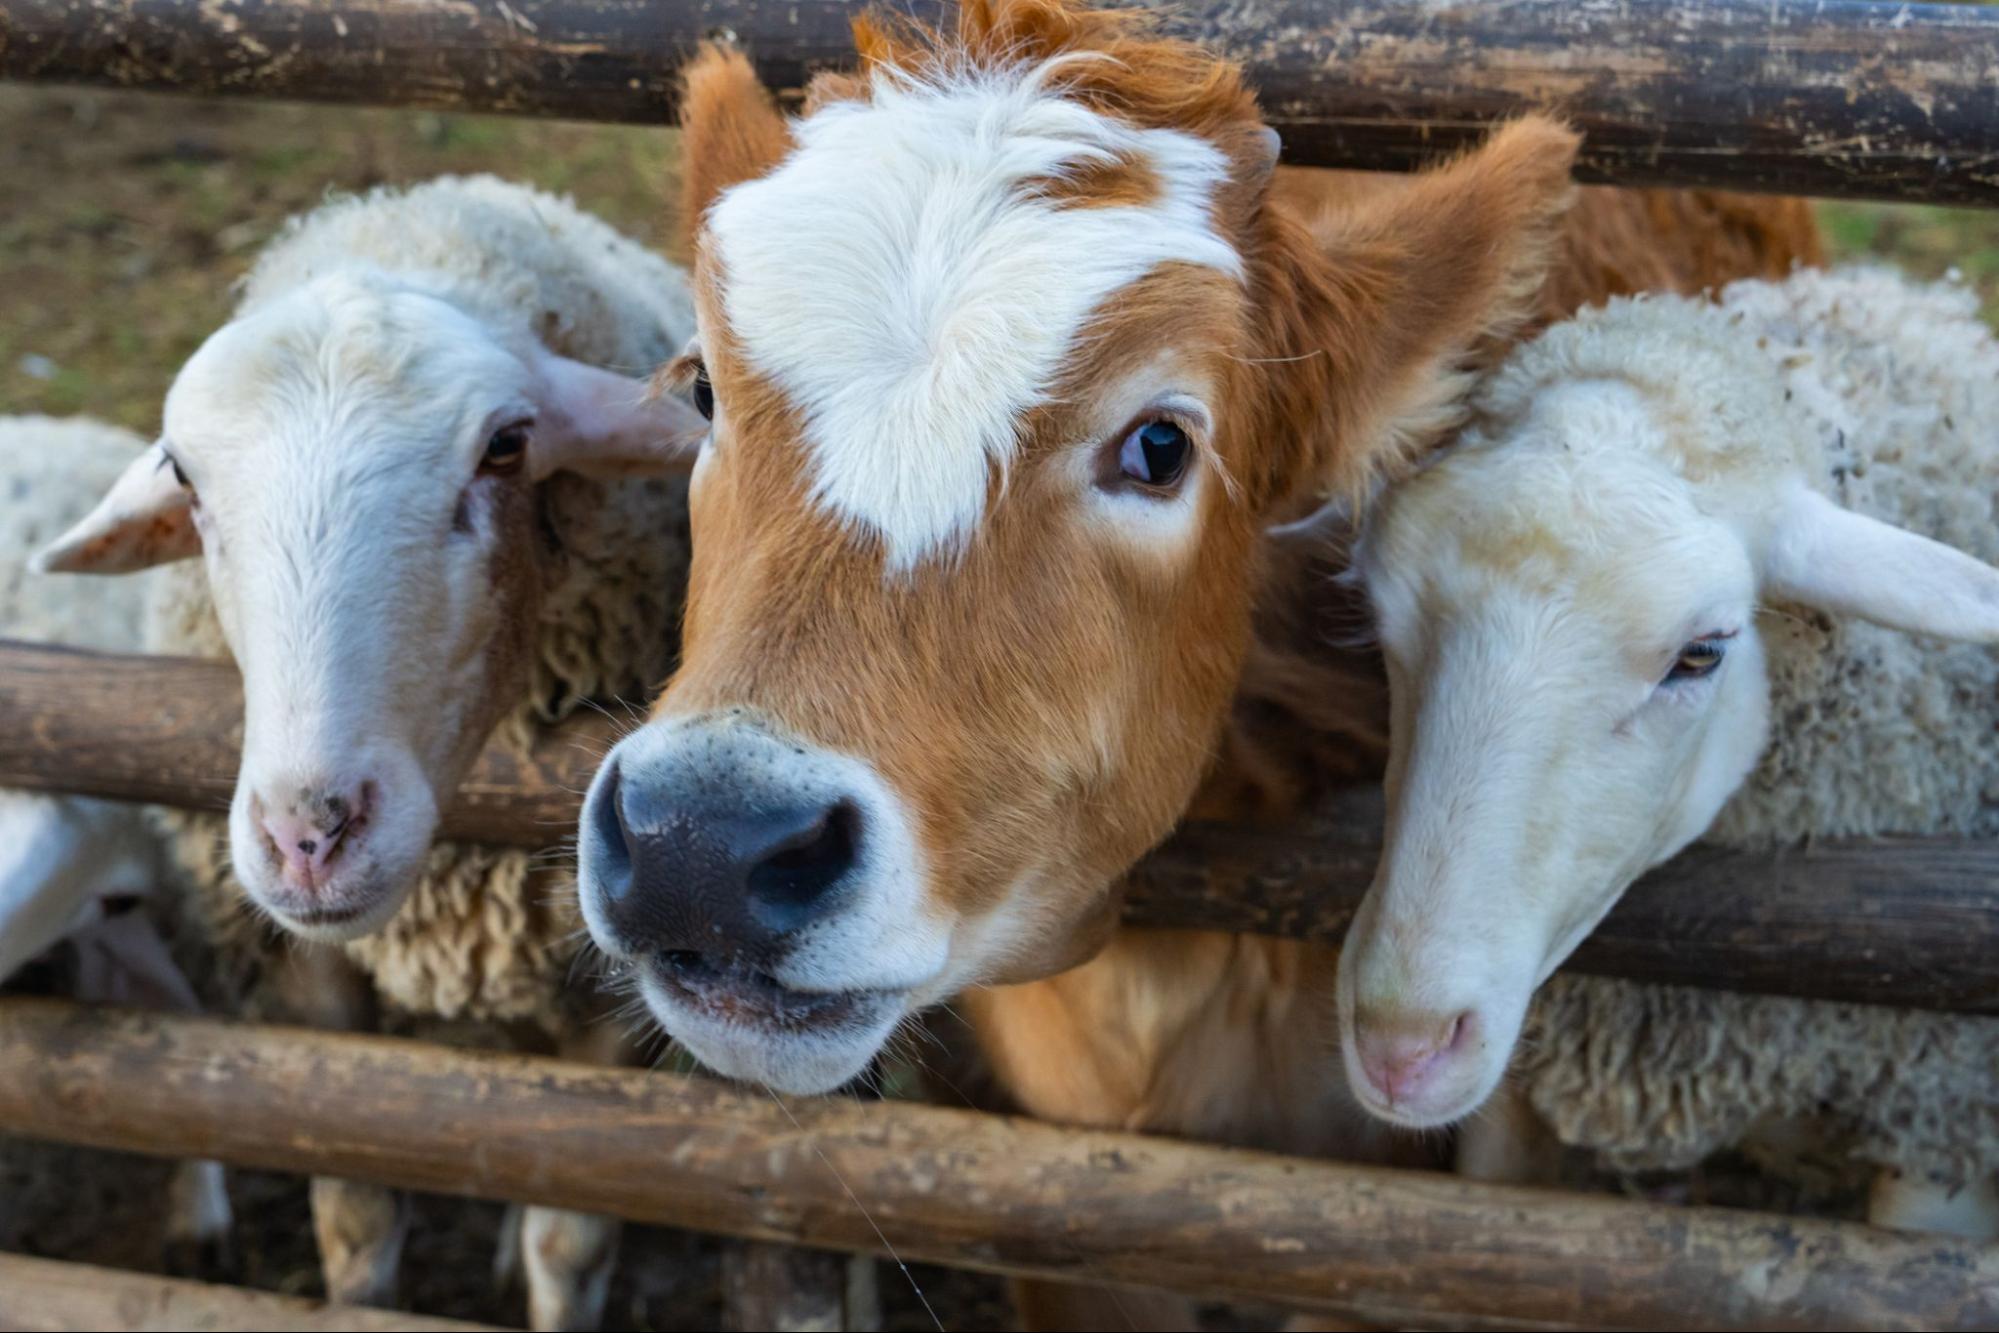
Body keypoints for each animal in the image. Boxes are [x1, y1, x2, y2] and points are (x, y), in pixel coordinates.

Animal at [36, 177, 704, 1327]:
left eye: (506, 446)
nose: (310, 837)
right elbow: (356, 1207)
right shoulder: (312, 981)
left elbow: (572, 1230)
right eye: (184, 477)